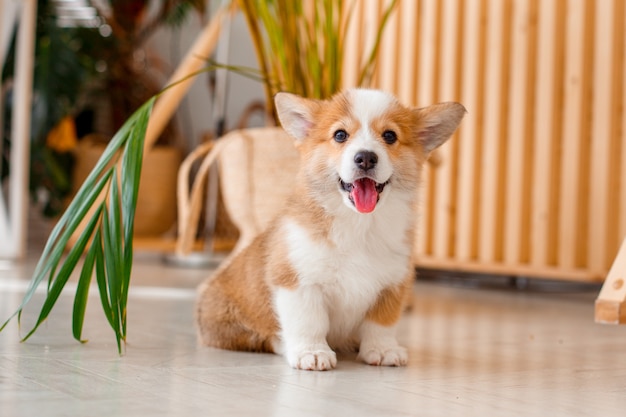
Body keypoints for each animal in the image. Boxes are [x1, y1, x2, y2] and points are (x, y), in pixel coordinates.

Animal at [195, 89, 464, 368]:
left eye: (390, 135)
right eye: (340, 135)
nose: (365, 158)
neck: (359, 224)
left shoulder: (392, 284)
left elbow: (381, 323)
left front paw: (382, 349)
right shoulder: (298, 280)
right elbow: (309, 321)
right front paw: (311, 352)